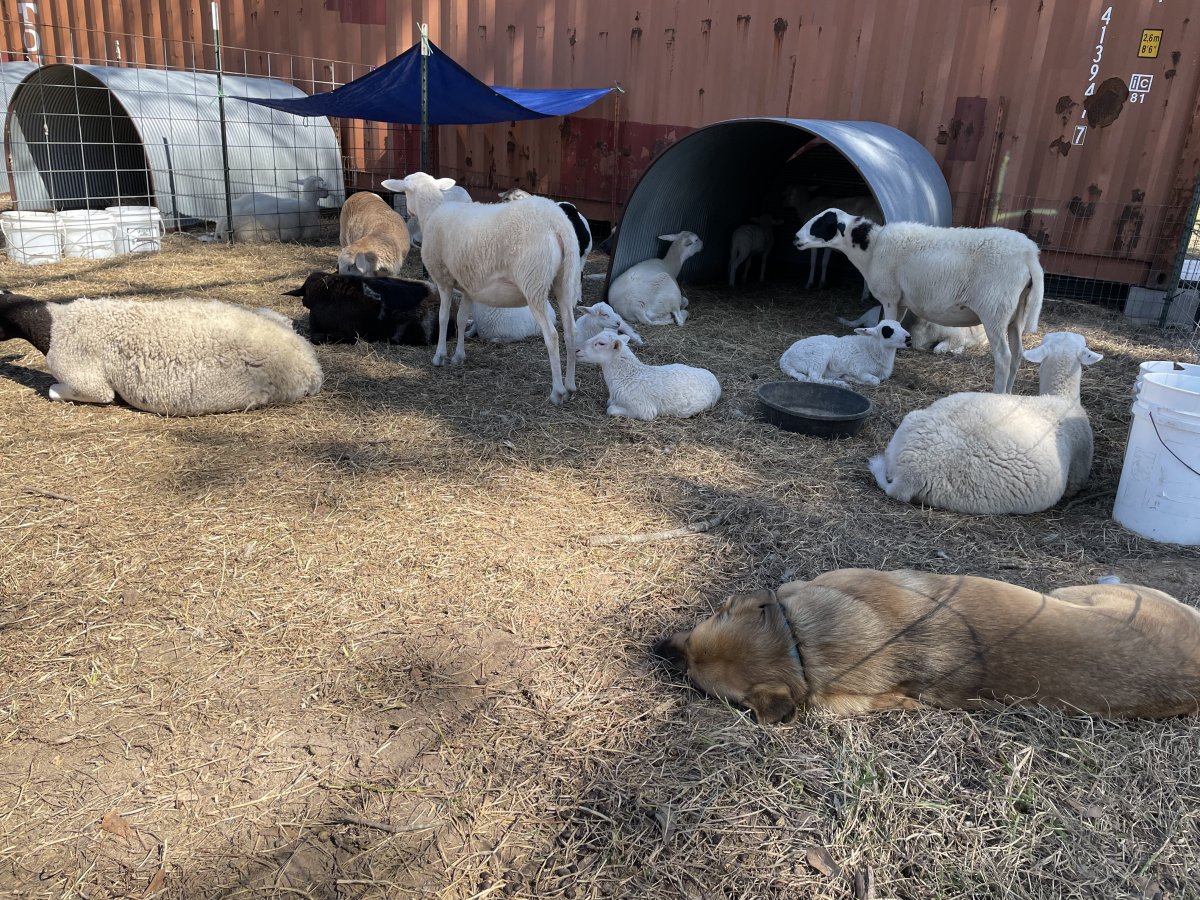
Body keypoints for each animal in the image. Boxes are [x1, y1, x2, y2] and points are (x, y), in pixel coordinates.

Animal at [381, 172, 582, 405]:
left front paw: (440, 356)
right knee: (570, 332)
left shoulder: (443, 280)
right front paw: (458, 356)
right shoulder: (468, 286)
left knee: (552, 336)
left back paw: (557, 391)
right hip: (565, 282)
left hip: (534, 281)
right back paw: (570, 386)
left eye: (405, 191)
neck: (430, 213)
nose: (409, 212)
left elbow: (443, 317)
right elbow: (460, 319)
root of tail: (557, 223)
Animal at [575, 329, 720, 421]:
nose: (577, 350)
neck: (625, 377)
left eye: (601, 343)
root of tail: (715, 381)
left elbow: (610, 409)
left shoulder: (644, 409)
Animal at [779, 319, 911, 387]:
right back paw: (842, 383)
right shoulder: (857, 368)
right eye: (887, 331)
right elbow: (875, 381)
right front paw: (851, 379)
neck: (872, 349)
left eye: (900, 325)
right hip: (820, 354)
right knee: (815, 378)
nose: (909, 338)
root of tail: (785, 358)